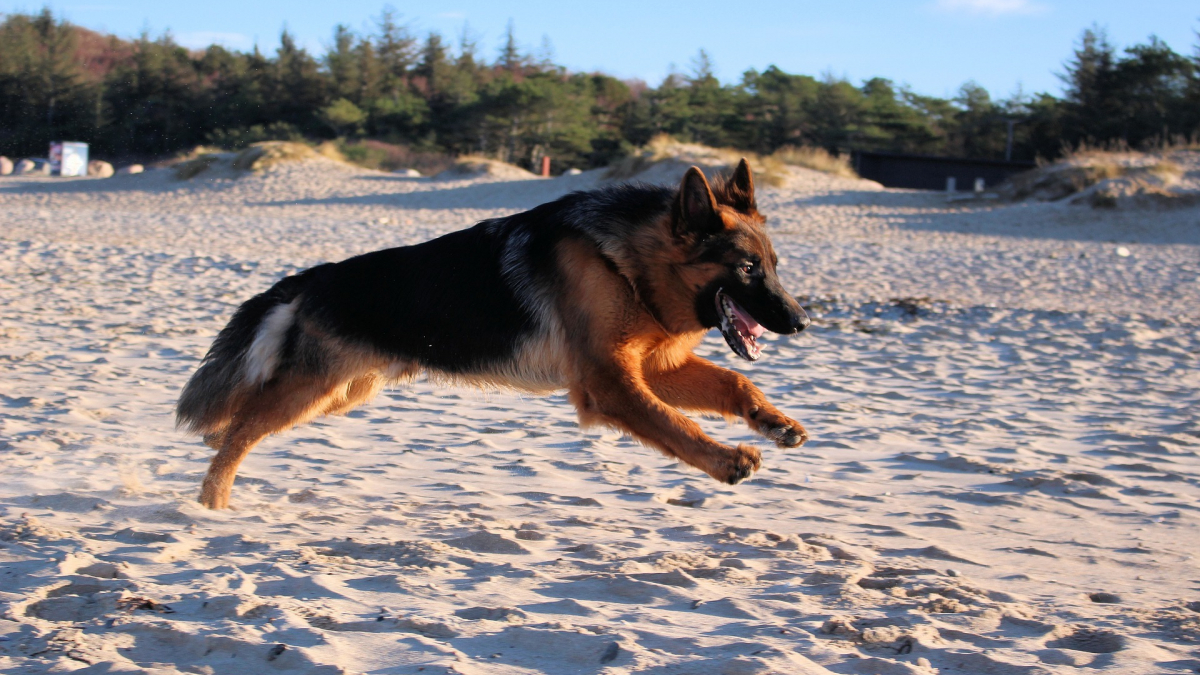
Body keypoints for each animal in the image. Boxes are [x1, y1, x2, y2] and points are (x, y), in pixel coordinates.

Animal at [177, 158, 811, 504]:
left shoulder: (653, 369)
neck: (628, 261)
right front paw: (725, 459)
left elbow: (733, 383)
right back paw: (212, 504)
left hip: (338, 394)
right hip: (312, 391)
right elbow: (673, 423)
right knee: (240, 432)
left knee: (239, 422)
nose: (803, 322)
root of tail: (313, 276)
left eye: (775, 265)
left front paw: (772, 421)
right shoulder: (610, 384)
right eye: (747, 269)